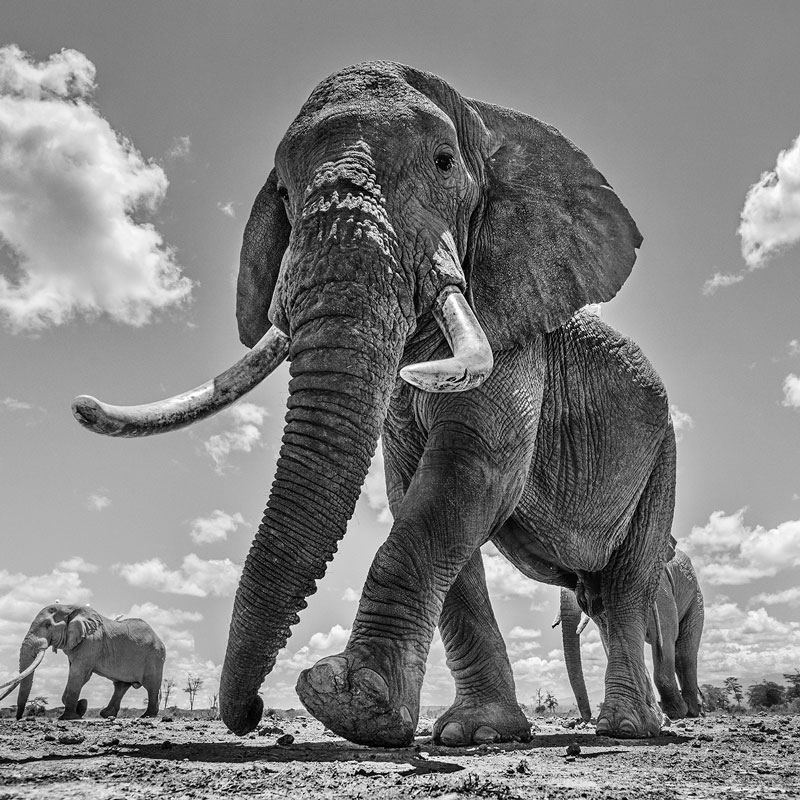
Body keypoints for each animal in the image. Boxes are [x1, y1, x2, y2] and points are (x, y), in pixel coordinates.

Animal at [0, 608, 166, 720]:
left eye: (47, 625)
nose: (19, 718)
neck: (70, 608)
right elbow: (76, 674)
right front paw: (81, 708)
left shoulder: (92, 641)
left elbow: (78, 674)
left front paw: (69, 717)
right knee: (120, 686)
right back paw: (106, 714)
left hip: (155, 657)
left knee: (151, 686)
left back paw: (147, 715)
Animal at [73, 59, 676, 748]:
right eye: (284, 193)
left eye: (444, 162)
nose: (252, 713)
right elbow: (417, 489)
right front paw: (471, 733)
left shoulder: (515, 337)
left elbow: (472, 473)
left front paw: (349, 705)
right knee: (598, 594)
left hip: (663, 453)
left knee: (624, 584)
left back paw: (629, 729)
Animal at [560, 548, 704, 720]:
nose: (588, 717)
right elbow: (610, 637)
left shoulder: (659, 587)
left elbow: (667, 632)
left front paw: (675, 712)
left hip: (696, 599)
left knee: (685, 652)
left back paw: (692, 710)